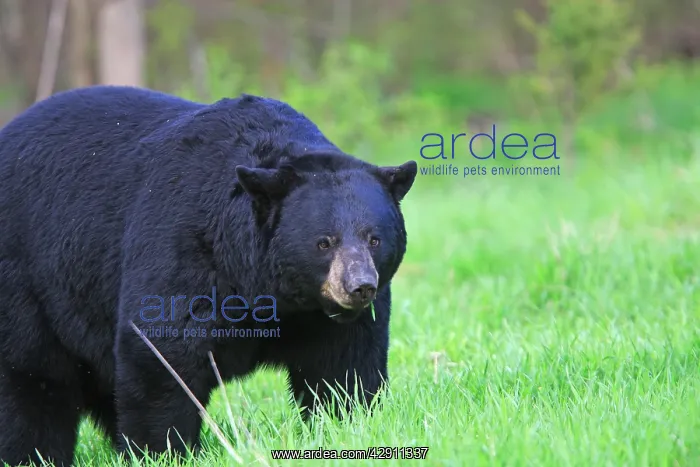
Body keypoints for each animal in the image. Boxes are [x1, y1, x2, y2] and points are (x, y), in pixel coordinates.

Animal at [0, 85, 417, 466]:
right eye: (324, 242)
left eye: (374, 238)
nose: (359, 287)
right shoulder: (183, 243)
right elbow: (163, 350)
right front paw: (165, 450)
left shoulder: (325, 317)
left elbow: (343, 365)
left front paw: (346, 424)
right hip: (30, 278)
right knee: (33, 381)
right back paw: (34, 455)